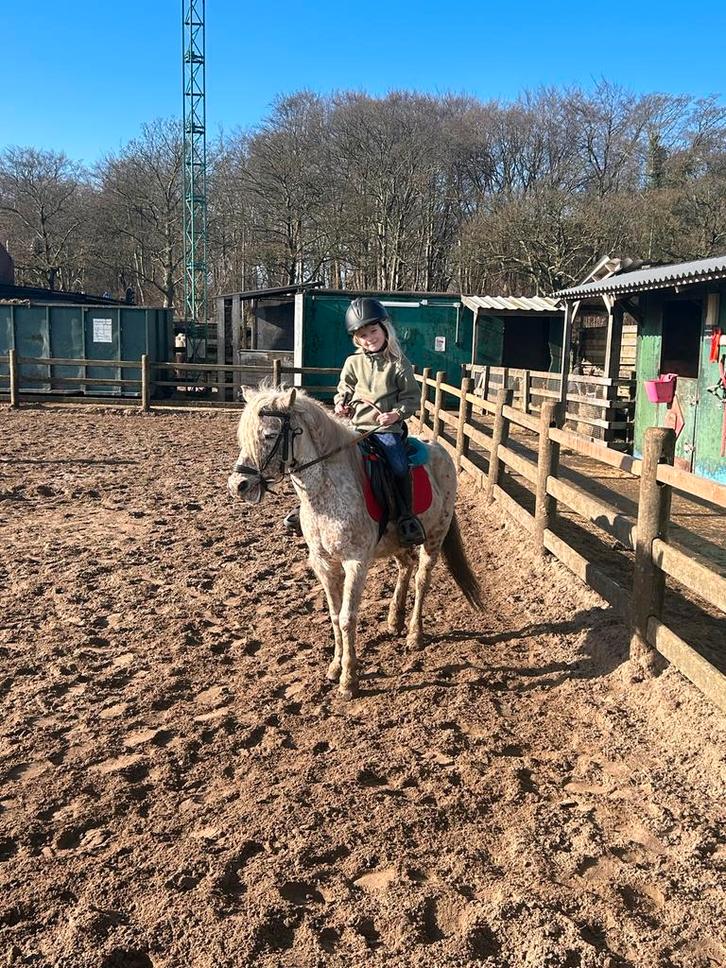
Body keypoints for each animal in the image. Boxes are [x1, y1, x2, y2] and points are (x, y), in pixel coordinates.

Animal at [227, 385, 482, 700]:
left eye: (270, 435)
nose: (238, 485)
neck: (325, 492)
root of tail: (440, 451)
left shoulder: (356, 563)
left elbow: (349, 617)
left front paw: (349, 680)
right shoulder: (323, 564)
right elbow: (335, 616)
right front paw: (335, 667)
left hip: (435, 536)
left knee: (422, 579)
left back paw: (414, 634)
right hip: (397, 542)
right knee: (406, 566)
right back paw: (394, 620)